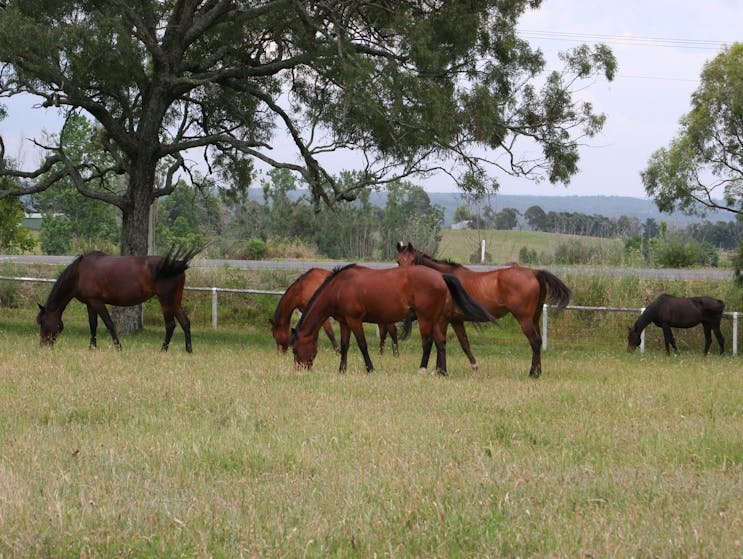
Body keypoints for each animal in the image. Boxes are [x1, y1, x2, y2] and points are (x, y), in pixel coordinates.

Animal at [35, 247, 198, 352]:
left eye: (43, 322)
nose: (43, 345)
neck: (79, 273)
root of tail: (175, 265)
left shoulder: (97, 302)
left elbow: (109, 324)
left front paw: (118, 347)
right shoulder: (90, 304)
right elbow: (93, 324)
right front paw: (92, 347)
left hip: (166, 300)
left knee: (170, 325)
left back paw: (163, 350)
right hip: (175, 301)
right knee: (185, 322)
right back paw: (188, 350)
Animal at [270, 270, 402, 356]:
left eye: (275, 335)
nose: (279, 353)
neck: (302, 287)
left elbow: (330, 333)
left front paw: (338, 351)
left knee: (392, 331)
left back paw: (395, 353)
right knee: (384, 333)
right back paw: (382, 352)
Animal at [290, 264, 494, 376]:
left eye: (294, 350)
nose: (299, 370)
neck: (339, 287)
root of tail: (440, 276)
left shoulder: (355, 320)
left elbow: (362, 344)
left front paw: (370, 369)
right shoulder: (344, 322)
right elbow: (345, 345)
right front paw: (342, 370)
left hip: (425, 318)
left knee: (428, 343)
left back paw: (422, 370)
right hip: (436, 319)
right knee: (441, 342)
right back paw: (442, 372)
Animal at [398, 243, 572, 378]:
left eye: (413, 260)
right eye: (398, 261)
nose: (404, 277)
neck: (442, 279)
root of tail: (535, 272)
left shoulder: (442, 319)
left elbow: (440, 342)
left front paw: (441, 371)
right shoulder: (456, 320)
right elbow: (464, 344)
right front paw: (469, 368)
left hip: (525, 320)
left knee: (535, 342)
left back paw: (532, 374)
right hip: (534, 319)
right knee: (539, 341)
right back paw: (537, 372)